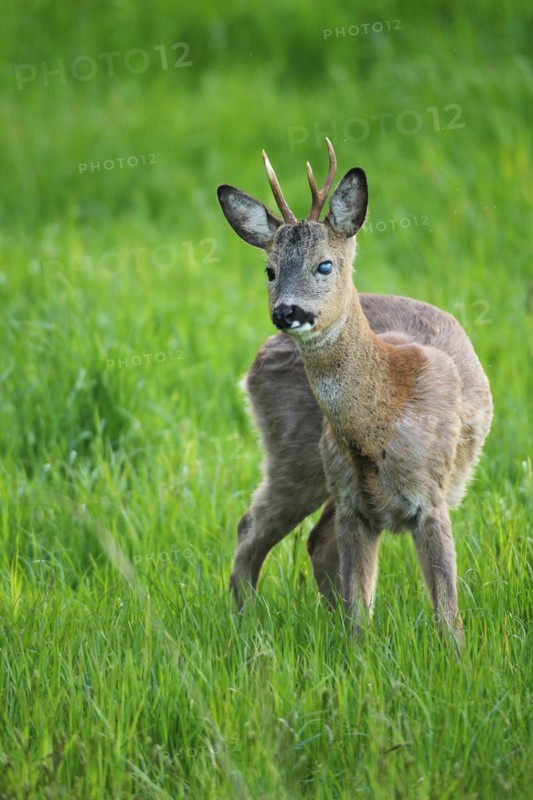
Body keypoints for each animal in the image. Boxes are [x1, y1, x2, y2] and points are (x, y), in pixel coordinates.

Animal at [217, 139, 493, 644]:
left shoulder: (431, 499)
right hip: (297, 459)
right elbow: (358, 610)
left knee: (306, 539)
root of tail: (254, 366)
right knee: (255, 528)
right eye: (269, 270)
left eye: (324, 264)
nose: (287, 311)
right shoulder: (352, 503)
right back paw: (244, 625)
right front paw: (359, 654)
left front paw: (456, 659)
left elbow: (447, 614)